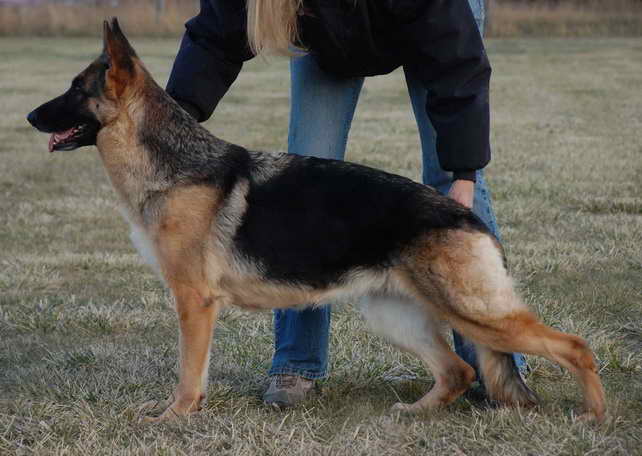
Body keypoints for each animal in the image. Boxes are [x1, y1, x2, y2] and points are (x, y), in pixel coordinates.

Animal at [26, 19, 604, 422]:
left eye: (76, 89)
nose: (29, 117)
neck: (172, 164)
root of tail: (467, 216)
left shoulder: (194, 304)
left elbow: (188, 373)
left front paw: (173, 417)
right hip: (396, 316)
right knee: (458, 370)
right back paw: (414, 413)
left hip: (473, 313)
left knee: (574, 347)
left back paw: (593, 415)